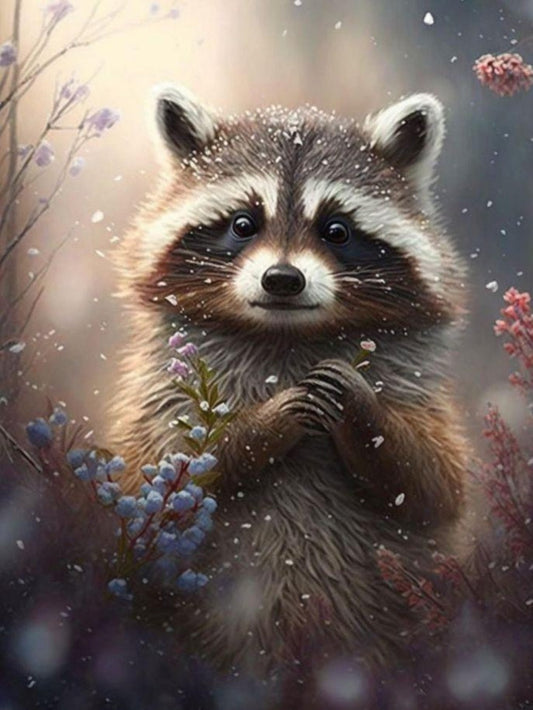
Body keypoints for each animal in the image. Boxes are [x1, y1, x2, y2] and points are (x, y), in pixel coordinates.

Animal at [111, 85, 468, 675]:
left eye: (337, 231)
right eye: (242, 223)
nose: (282, 279)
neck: (287, 336)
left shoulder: (417, 386)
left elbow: (434, 483)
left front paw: (362, 409)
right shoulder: (159, 390)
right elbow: (158, 477)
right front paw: (264, 424)